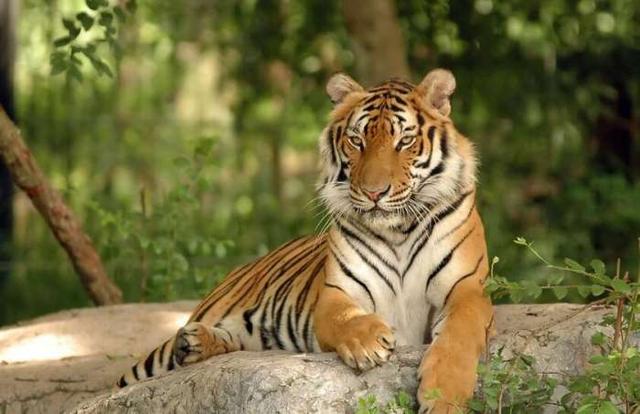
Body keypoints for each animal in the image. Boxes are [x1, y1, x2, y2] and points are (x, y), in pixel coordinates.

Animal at [117, 68, 494, 414]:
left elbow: (459, 336)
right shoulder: (337, 293)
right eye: (357, 141)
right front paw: (369, 341)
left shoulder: (467, 289)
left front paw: (443, 397)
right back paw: (191, 342)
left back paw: (194, 345)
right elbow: (344, 318)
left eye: (404, 141)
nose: (374, 193)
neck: (397, 230)